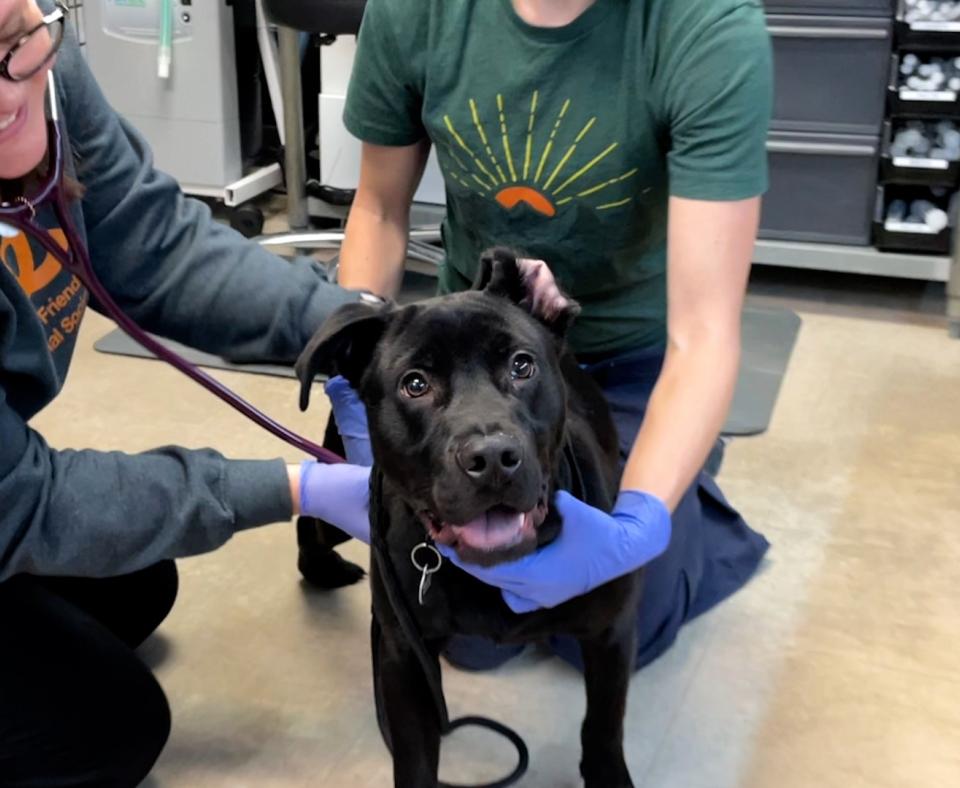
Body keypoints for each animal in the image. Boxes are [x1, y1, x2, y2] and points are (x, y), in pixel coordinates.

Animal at [296, 251, 640, 788]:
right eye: (415, 384)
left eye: (522, 365)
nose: (493, 457)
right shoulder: (405, 657)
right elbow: (415, 760)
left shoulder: (612, 633)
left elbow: (603, 729)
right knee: (311, 510)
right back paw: (319, 568)